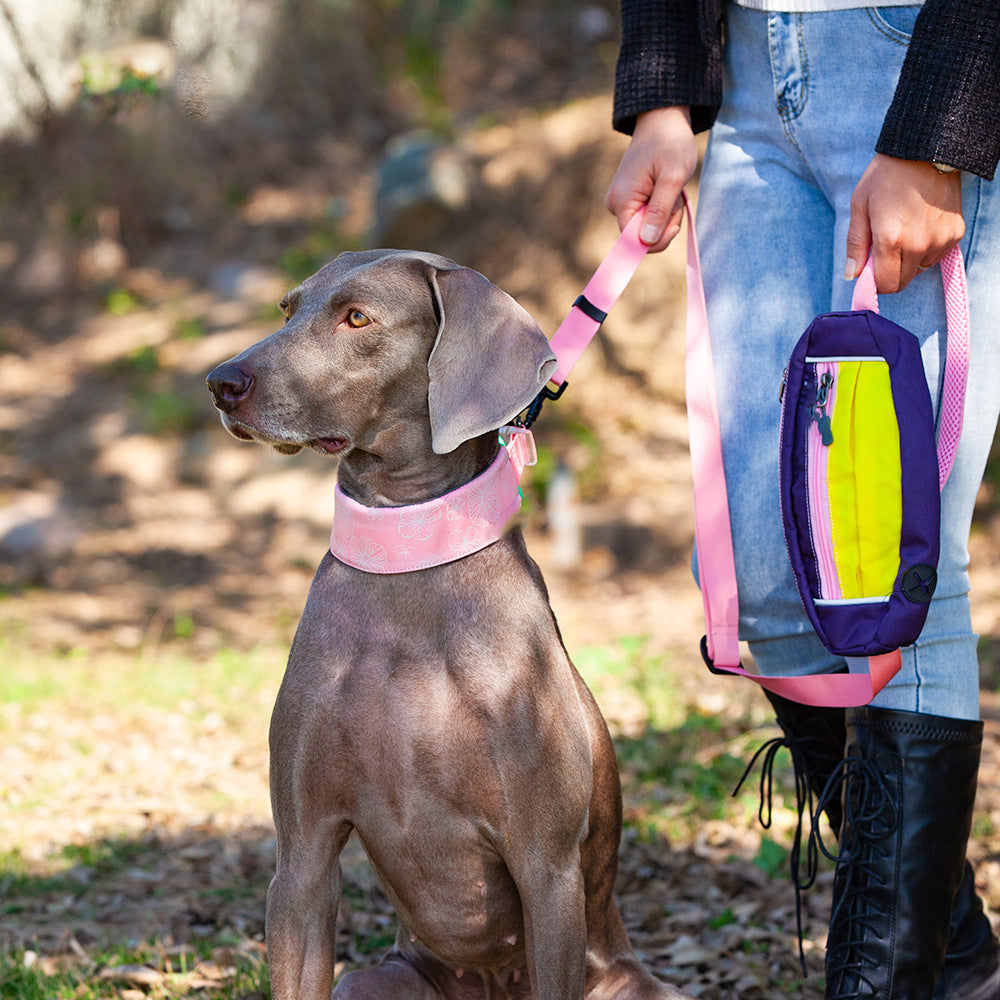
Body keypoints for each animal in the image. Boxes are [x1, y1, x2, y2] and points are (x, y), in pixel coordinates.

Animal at [203, 250, 688, 1000]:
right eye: (287, 309)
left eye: (357, 318)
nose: (221, 382)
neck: (407, 558)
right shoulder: (303, 856)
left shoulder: (546, 866)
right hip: (376, 979)